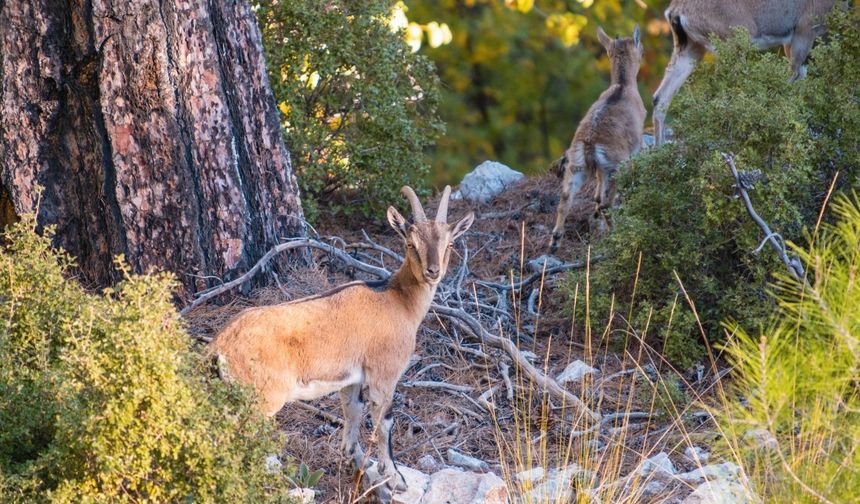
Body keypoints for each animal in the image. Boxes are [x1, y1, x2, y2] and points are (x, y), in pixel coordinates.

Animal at [210, 187, 478, 502]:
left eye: (450, 244)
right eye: (410, 243)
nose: (433, 271)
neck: (397, 301)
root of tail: (220, 345)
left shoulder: (351, 379)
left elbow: (353, 414)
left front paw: (359, 463)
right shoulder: (384, 374)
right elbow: (384, 422)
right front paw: (395, 479)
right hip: (261, 399)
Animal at [552, 25, 644, 252]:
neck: (623, 86)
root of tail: (590, 146)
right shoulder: (636, 146)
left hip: (577, 167)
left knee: (565, 198)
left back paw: (555, 241)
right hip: (614, 167)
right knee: (606, 204)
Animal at [656, 0, 836, 146]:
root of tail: (677, 10)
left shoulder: (792, 40)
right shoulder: (804, 31)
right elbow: (793, 80)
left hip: (691, 47)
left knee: (661, 97)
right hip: (734, 42)